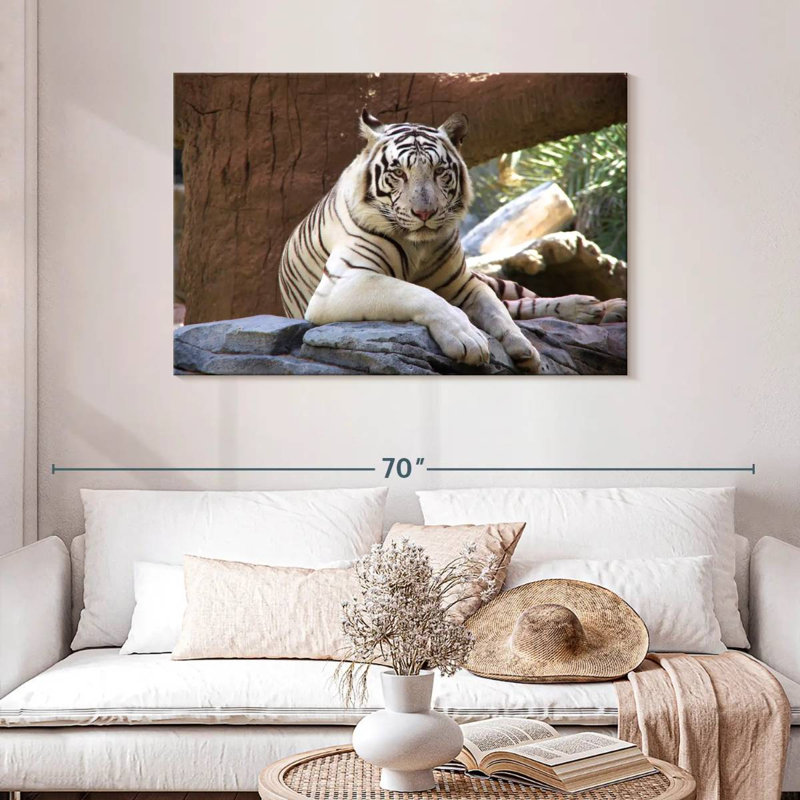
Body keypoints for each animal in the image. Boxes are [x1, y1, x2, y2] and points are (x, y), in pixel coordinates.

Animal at [279, 109, 623, 373]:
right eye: (399, 173)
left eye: (439, 171)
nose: (424, 213)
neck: (419, 245)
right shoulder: (343, 283)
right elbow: (420, 294)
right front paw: (468, 339)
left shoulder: (465, 283)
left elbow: (496, 310)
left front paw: (522, 346)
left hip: (494, 279)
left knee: (523, 300)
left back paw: (599, 307)